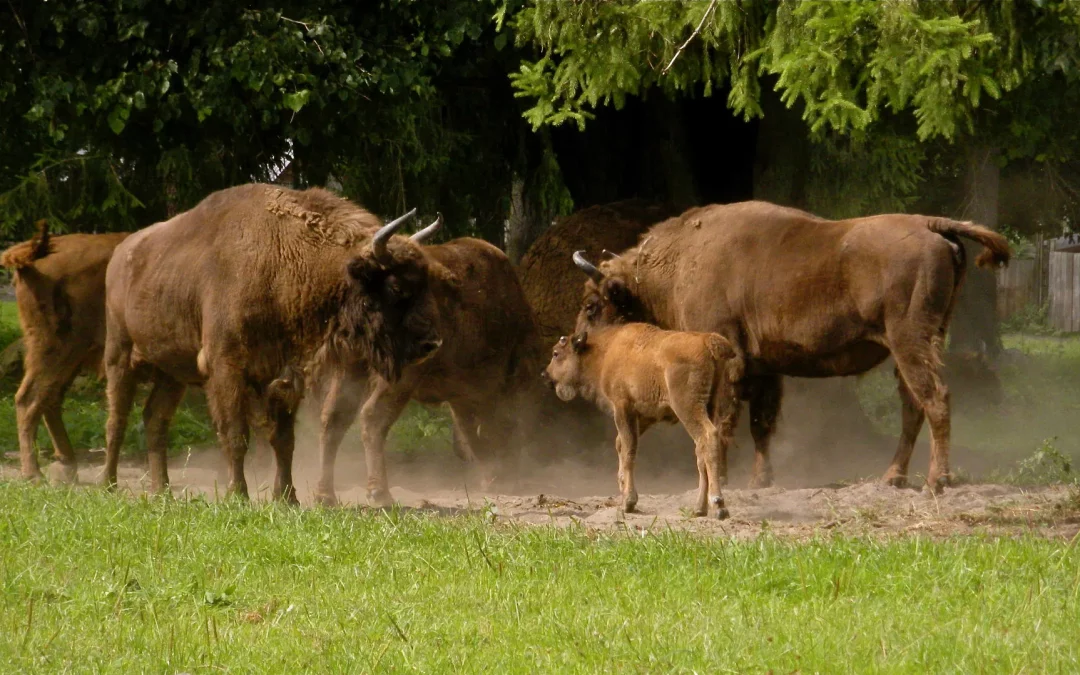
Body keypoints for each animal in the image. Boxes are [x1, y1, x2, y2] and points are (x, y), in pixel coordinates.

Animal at [573, 201, 1011, 492]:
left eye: (592, 305)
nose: (577, 342)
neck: (678, 263)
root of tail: (930, 224)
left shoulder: (728, 358)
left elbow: (724, 421)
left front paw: (727, 479)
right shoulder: (764, 366)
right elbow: (761, 423)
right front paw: (761, 480)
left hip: (910, 340)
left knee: (935, 399)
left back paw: (936, 481)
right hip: (916, 345)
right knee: (913, 406)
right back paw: (892, 478)